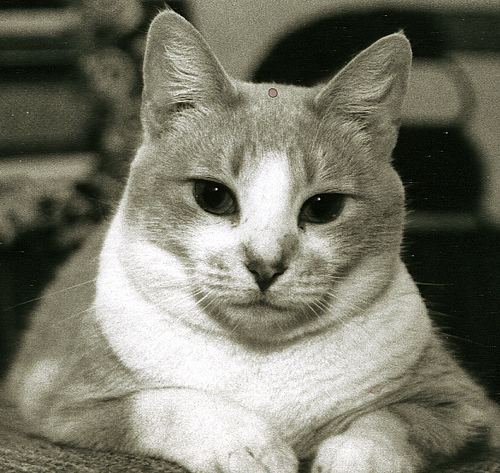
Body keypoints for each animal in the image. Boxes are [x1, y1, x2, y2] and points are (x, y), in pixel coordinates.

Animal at [5, 9, 500, 473]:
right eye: (213, 196)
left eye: (323, 208)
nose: (266, 264)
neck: (261, 359)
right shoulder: (58, 401)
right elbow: (169, 401)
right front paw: (248, 445)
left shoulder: (463, 405)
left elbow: (392, 421)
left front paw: (360, 454)